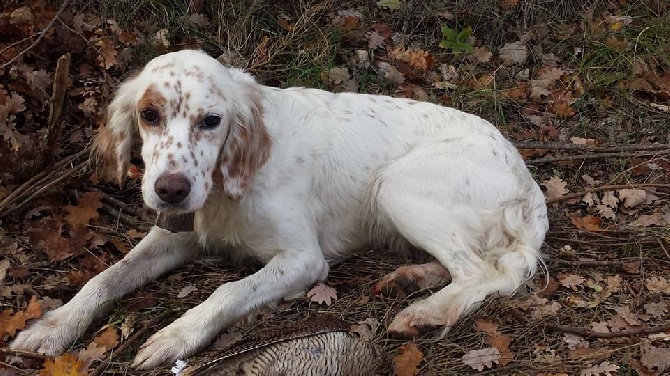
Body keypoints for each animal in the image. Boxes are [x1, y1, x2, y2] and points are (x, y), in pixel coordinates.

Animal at [11, 48, 552, 368]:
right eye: (148, 114)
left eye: (212, 120)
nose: (170, 190)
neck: (228, 184)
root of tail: (529, 184)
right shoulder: (175, 236)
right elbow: (104, 278)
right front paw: (52, 328)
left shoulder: (304, 260)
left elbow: (228, 291)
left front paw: (176, 334)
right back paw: (411, 279)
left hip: (394, 185)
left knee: (479, 272)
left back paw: (423, 312)